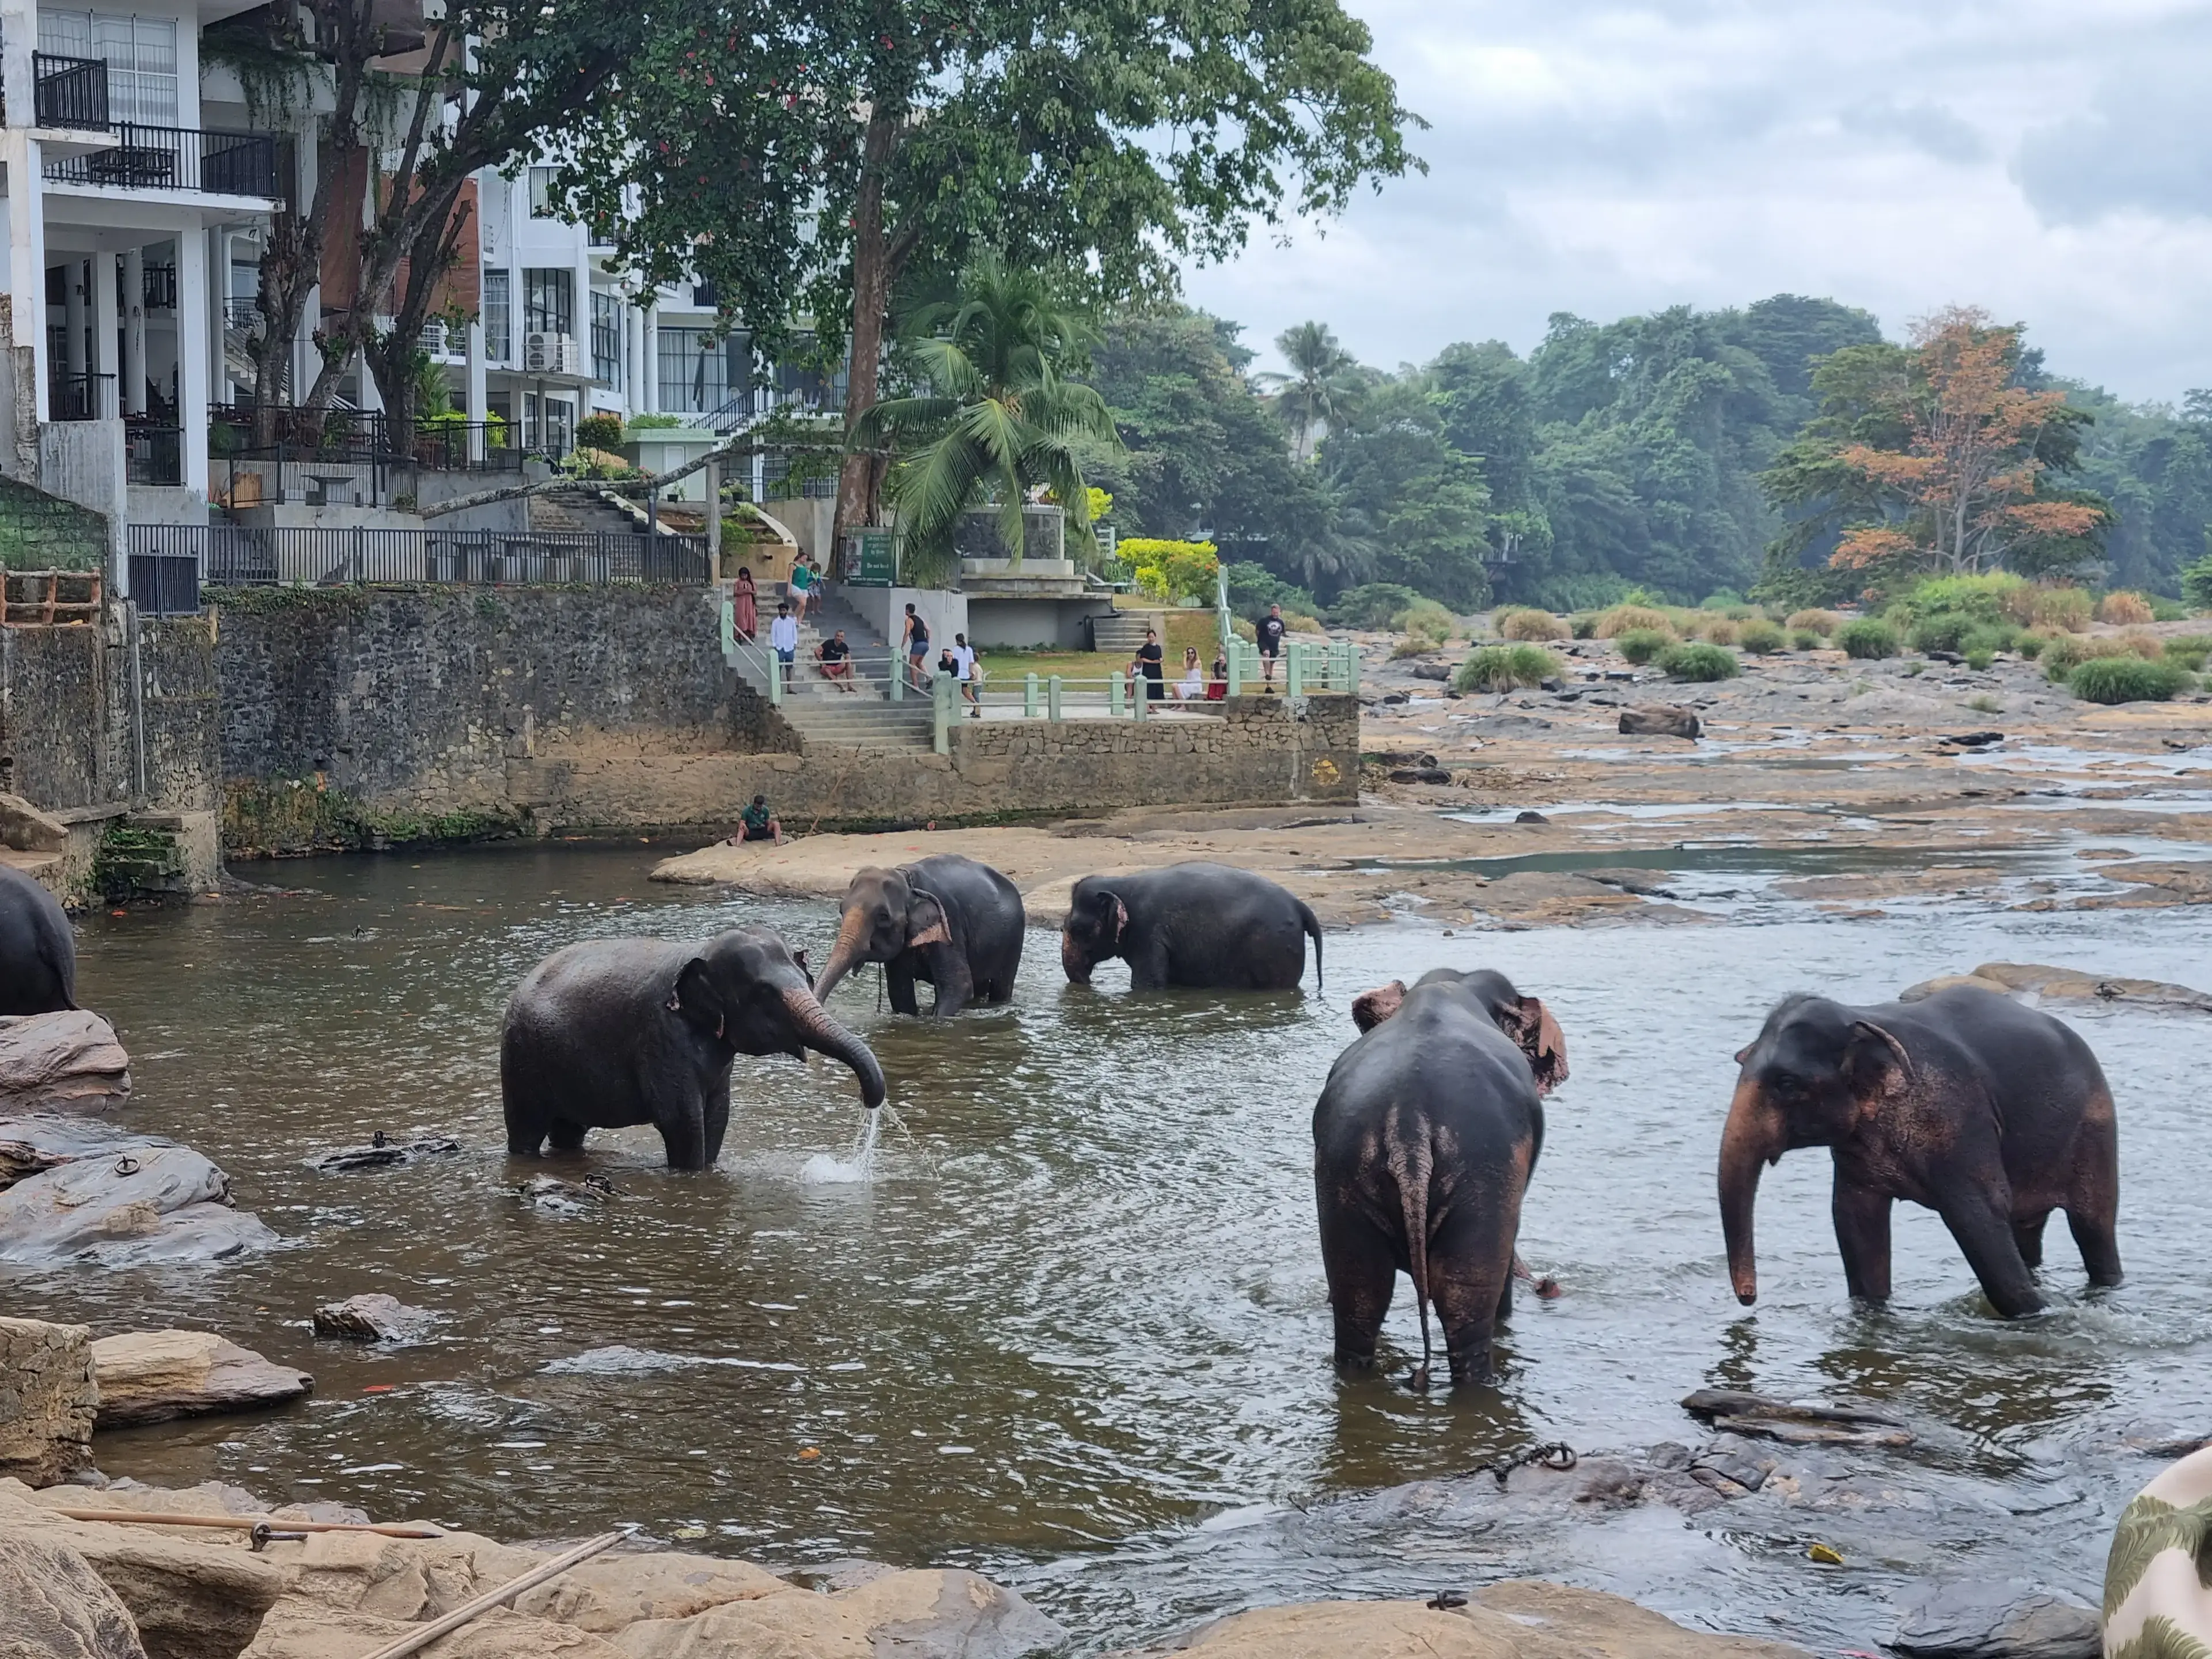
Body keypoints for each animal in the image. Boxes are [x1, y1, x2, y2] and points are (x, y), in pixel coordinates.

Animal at [501, 924, 885, 1170]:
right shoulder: (661, 1036)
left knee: (569, 1131)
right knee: (526, 1131)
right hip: (521, 1059)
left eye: (805, 979)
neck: (697, 952)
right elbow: (682, 1120)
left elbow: (717, 1117)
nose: (868, 1099)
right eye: (764, 995)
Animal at [812, 855, 1025, 1016]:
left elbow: (959, 986)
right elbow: (899, 992)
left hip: (1014, 939)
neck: (909, 884)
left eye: (883, 917)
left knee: (1001, 985)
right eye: (841, 910)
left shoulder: (949, 921)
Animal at [1060, 862, 1322, 991]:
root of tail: (1301, 905)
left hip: (1275, 948)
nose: (1090, 984)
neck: (1122, 884)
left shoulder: (1149, 933)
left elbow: (1148, 984)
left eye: (1078, 930)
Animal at [1313, 968, 1568, 1387]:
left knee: (1360, 1295)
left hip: (1341, 1173)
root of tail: (1409, 1120)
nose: (1549, 1286)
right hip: (1481, 1174)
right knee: (1465, 1308)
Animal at [1720, 986, 2121, 1318]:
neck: (1861, 1019)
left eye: (1787, 1084)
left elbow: (1979, 1214)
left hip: (2095, 1133)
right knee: (2027, 1231)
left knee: (2093, 1228)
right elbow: (1854, 1220)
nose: (1749, 1298)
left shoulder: (1958, 1118)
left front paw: (2038, 1314)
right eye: (1740, 1061)